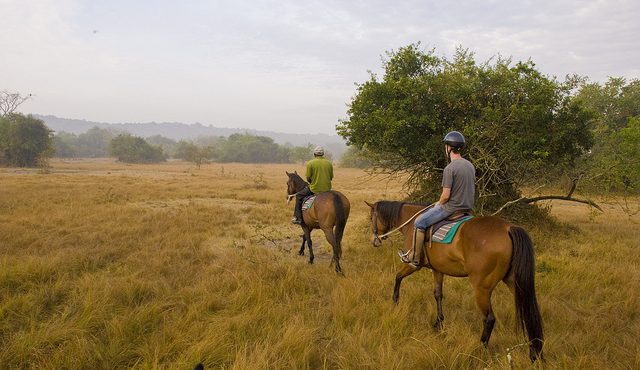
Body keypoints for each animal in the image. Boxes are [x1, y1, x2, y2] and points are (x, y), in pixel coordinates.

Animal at [368, 201, 544, 362]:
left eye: (371, 218)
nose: (374, 240)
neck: (411, 222)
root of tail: (508, 228)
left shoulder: (412, 265)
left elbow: (398, 277)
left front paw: (395, 301)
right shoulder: (438, 269)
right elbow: (438, 294)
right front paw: (438, 323)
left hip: (482, 288)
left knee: (489, 319)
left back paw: (479, 350)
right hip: (514, 283)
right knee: (528, 313)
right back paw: (534, 353)